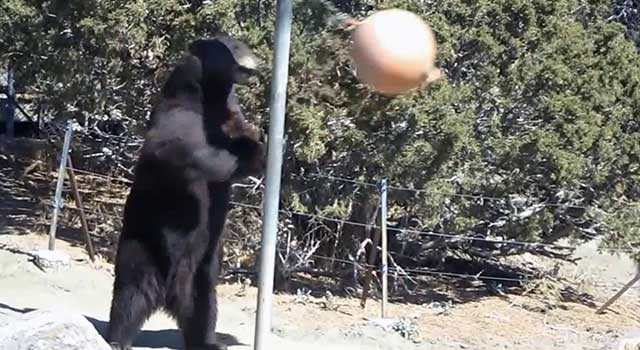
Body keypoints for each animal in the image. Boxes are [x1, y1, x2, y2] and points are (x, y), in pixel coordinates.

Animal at [107, 34, 264, 350]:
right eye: (233, 47)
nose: (253, 64)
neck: (206, 96)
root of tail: (169, 293)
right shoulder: (176, 120)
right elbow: (185, 151)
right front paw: (241, 156)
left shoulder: (226, 114)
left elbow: (241, 134)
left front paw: (256, 144)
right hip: (141, 243)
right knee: (130, 294)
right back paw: (117, 339)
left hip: (205, 262)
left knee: (203, 304)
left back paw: (208, 340)